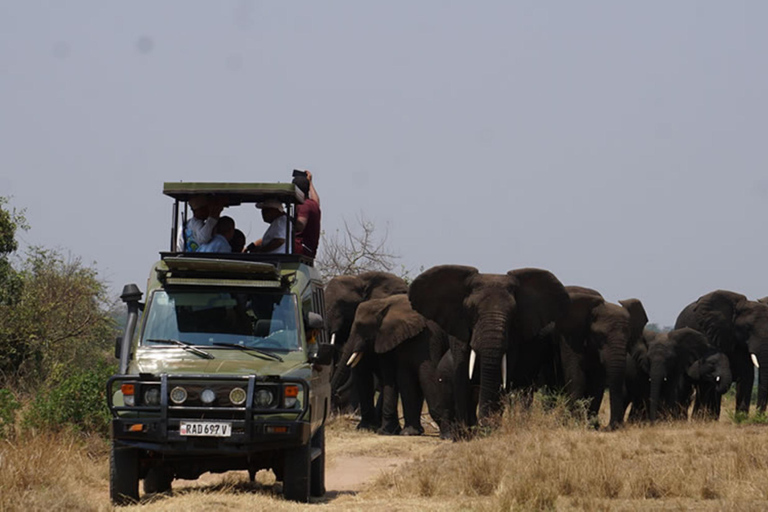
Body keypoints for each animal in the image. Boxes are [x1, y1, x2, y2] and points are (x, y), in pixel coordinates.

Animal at [344, 294, 448, 434]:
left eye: (361, 326)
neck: (385, 303)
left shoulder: (429, 339)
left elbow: (428, 375)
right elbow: (405, 380)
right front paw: (406, 433)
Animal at [556, 288, 644, 428]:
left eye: (629, 337)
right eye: (600, 335)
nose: (608, 427)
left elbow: (597, 382)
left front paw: (592, 426)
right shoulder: (569, 336)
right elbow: (576, 376)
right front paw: (574, 423)